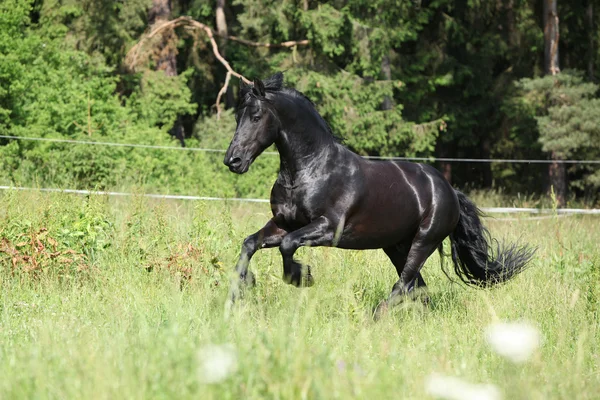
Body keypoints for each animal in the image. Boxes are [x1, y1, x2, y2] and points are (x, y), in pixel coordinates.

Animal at [224, 72, 536, 312]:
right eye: (237, 117)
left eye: (256, 116)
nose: (233, 161)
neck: (311, 171)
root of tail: (448, 190)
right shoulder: (283, 223)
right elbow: (249, 243)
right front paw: (243, 287)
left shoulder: (327, 228)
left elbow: (288, 245)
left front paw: (302, 277)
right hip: (396, 246)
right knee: (418, 289)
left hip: (423, 242)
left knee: (404, 285)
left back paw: (376, 316)